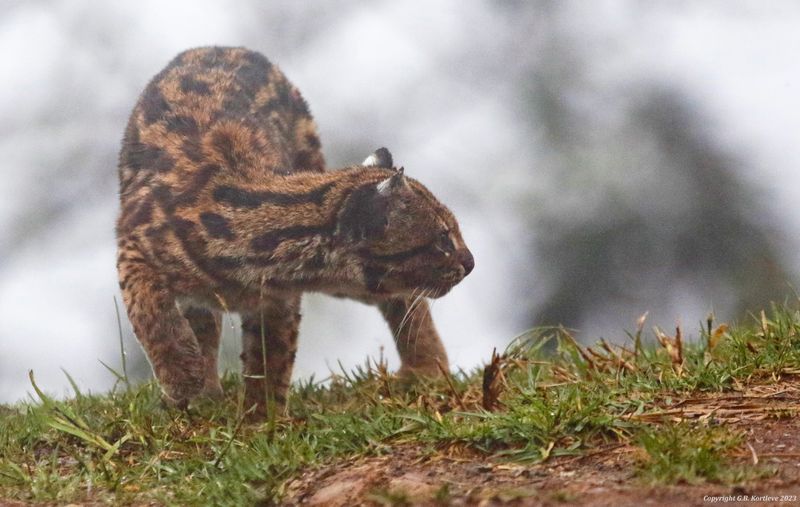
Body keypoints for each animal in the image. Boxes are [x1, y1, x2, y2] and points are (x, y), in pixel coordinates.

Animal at [115, 45, 472, 414]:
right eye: (443, 238)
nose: (470, 263)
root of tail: (223, 46)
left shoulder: (279, 300)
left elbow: (271, 356)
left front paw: (262, 418)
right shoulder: (133, 246)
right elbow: (150, 310)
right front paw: (182, 375)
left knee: (405, 299)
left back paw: (427, 369)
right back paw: (203, 392)